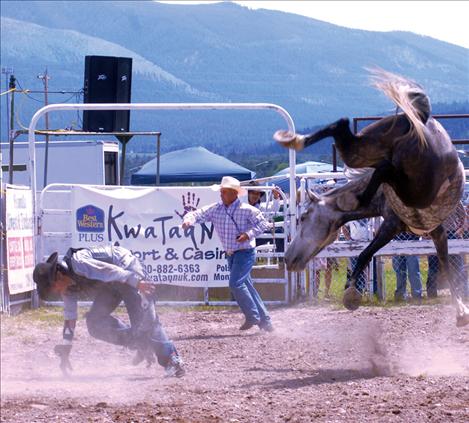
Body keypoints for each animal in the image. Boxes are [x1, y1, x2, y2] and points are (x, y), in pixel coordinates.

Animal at [274, 69, 468, 328]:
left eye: (303, 217)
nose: (288, 258)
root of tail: (418, 120)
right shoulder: (426, 229)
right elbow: (442, 261)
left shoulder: (397, 226)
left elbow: (367, 253)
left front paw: (351, 294)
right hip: (373, 150)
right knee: (351, 136)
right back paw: (296, 141)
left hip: (404, 180)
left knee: (371, 156)